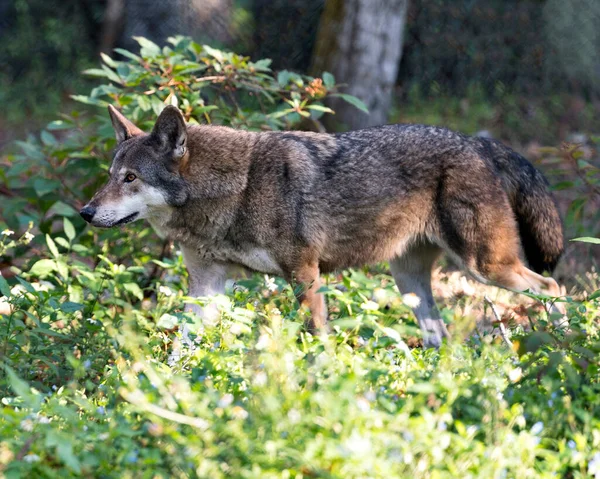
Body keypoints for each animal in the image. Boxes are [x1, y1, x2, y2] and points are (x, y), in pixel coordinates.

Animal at [78, 105, 564, 346]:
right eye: (110, 175)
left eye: (131, 178)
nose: (85, 212)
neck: (236, 188)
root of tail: (480, 143)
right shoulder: (206, 287)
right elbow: (183, 347)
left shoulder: (305, 274)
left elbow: (316, 341)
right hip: (410, 283)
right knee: (440, 337)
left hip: (486, 267)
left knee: (553, 288)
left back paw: (566, 344)